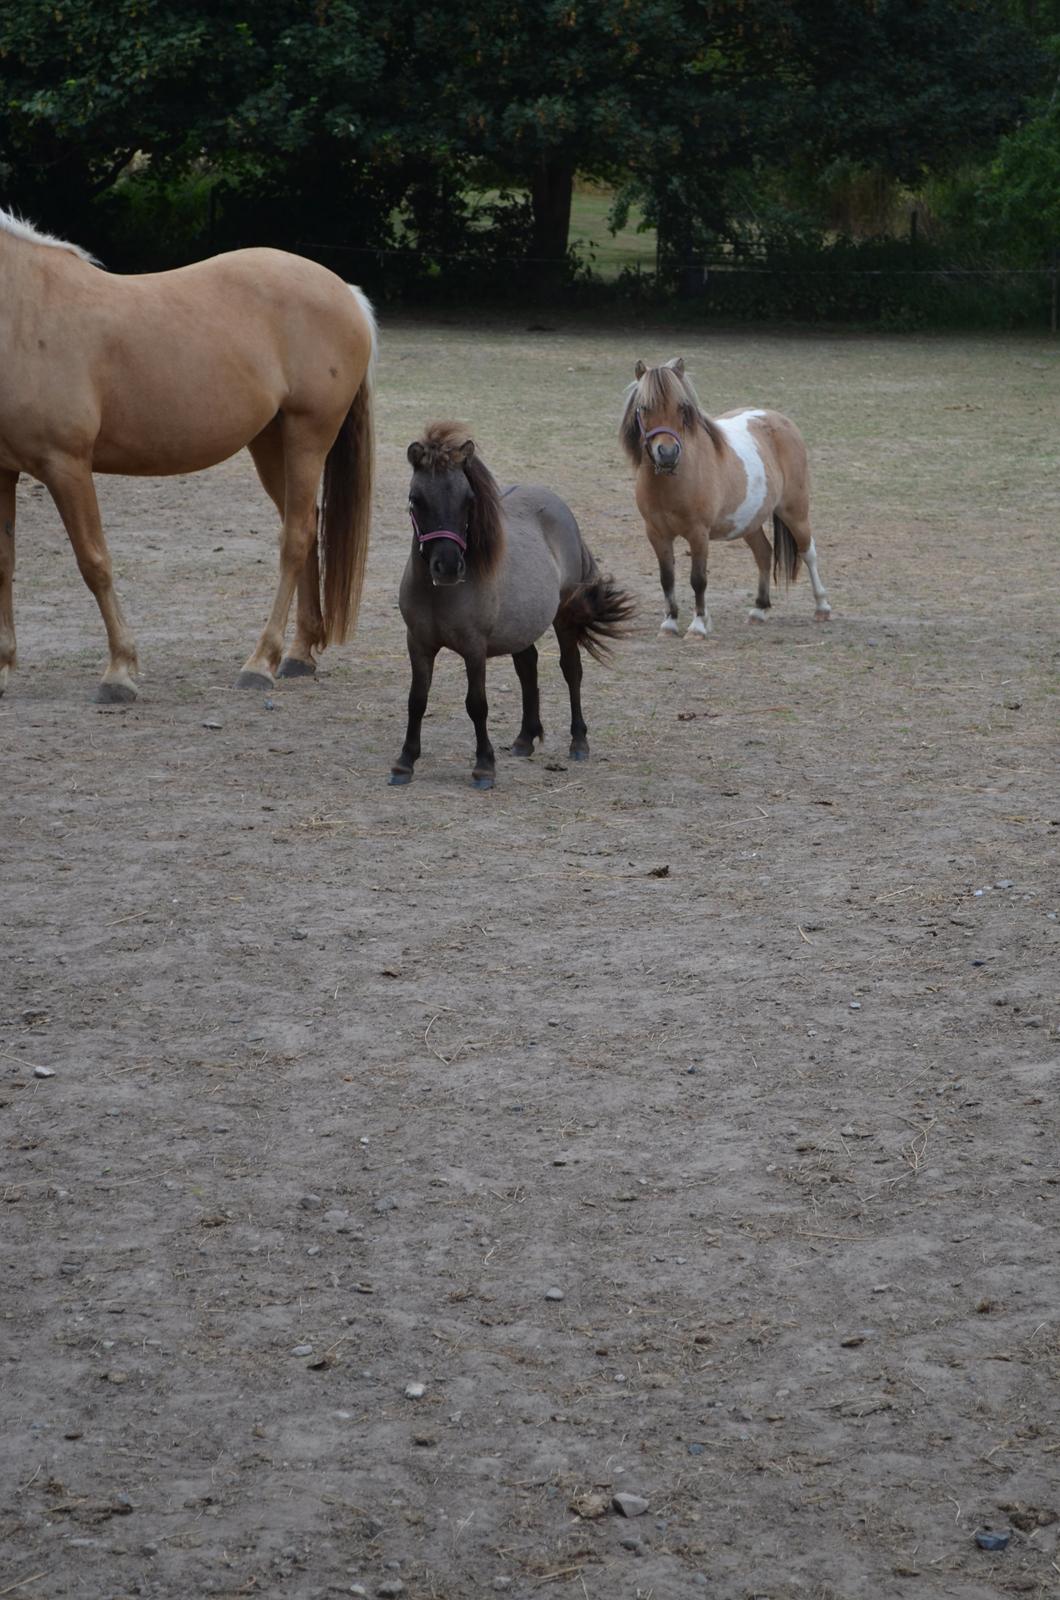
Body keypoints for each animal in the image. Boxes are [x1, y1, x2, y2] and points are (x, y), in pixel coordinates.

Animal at [0, 206, 377, 700]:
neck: (22, 309)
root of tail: (347, 293)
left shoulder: (65, 464)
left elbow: (94, 562)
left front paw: (119, 671)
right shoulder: (3, 471)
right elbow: (4, 563)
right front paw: (4, 667)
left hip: (308, 434)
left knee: (295, 538)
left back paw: (260, 662)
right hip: (271, 443)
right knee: (308, 527)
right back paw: (297, 655)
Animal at [618, 356, 832, 636]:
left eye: (682, 408)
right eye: (644, 408)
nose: (667, 453)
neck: (673, 481)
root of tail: (781, 420)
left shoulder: (698, 533)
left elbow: (698, 579)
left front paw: (698, 625)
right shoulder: (656, 534)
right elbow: (667, 577)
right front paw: (670, 623)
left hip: (795, 512)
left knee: (809, 552)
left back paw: (822, 607)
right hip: (750, 522)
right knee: (764, 554)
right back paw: (759, 609)